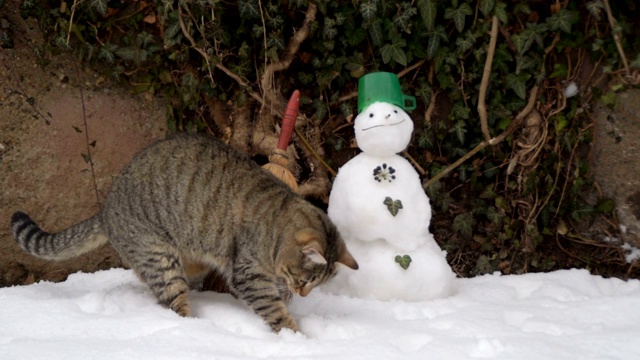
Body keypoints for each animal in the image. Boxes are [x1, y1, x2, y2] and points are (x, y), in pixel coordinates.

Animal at [10, 134, 358, 332]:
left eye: (313, 285)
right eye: (304, 280)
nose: (303, 294)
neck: (276, 221)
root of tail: (106, 209)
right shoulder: (248, 274)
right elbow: (274, 311)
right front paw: (296, 337)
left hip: (188, 262)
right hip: (160, 259)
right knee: (173, 302)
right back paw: (194, 331)